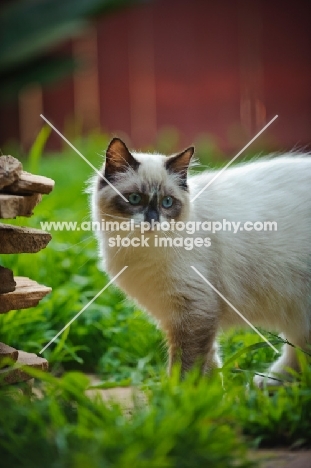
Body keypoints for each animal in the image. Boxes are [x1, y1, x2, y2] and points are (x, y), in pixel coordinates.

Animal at [92, 137, 311, 386]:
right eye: (135, 199)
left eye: (167, 202)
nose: (152, 220)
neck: (141, 250)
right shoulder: (183, 315)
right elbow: (209, 365)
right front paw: (210, 393)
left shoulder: (195, 310)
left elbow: (186, 367)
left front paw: (179, 394)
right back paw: (268, 385)